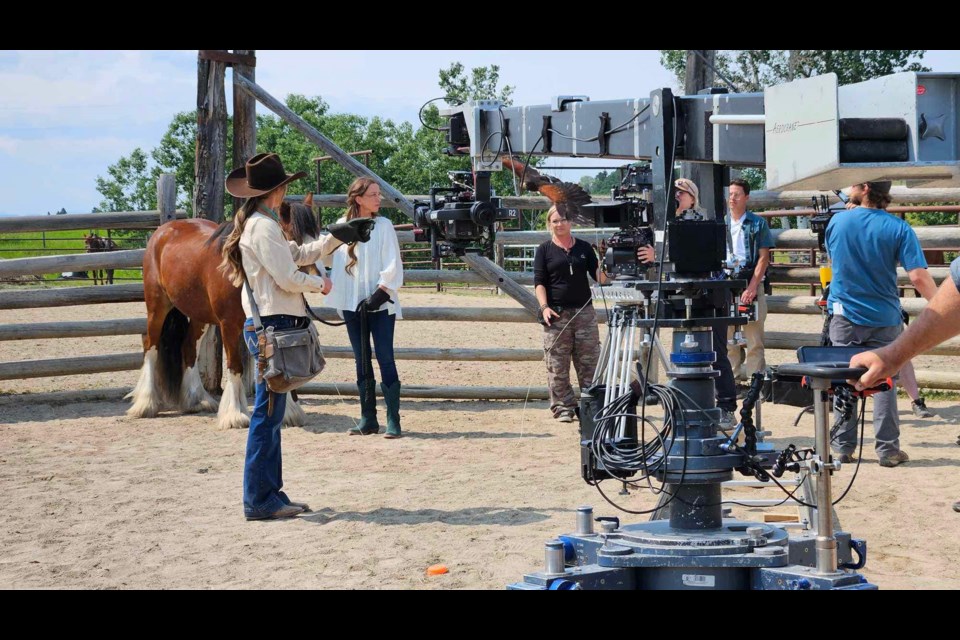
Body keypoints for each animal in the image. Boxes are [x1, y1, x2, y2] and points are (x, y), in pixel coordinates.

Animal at [125, 195, 322, 430]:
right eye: (292, 235)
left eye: (317, 233)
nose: (319, 276)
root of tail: (163, 232)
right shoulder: (228, 325)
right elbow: (236, 366)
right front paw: (235, 414)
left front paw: (289, 412)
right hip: (157, 306)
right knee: (150, 345)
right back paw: (146, 403)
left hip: (200, 315)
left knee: (188, 347)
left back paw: (197, 400)